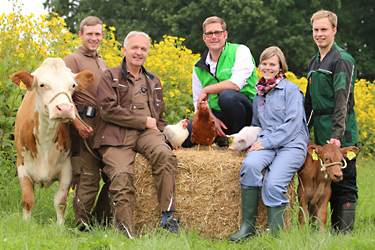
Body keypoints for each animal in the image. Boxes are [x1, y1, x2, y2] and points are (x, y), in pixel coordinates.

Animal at [11, 57, 94, 226]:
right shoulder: (21, 165)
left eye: (72, 85)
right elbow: (28, 200)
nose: (65, 108)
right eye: (42, 84)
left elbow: (60, 202)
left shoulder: (68, 168)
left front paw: (60, 227)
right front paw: (26, 224)